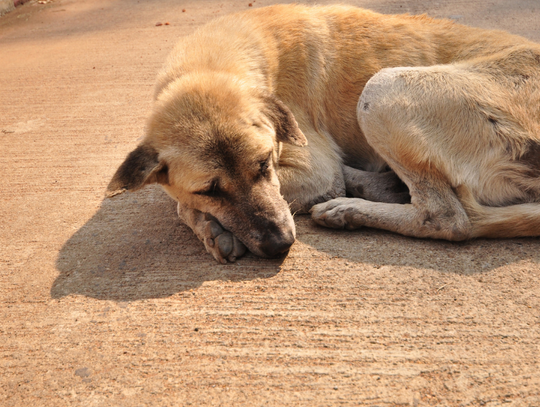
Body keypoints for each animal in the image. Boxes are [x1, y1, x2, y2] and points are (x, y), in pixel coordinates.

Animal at [107, 3, 540, 264]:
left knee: (447, 218)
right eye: (210, 189)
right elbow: (182, 201)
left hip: (383, 88)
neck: (214, 62)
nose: (280, 245)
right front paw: (212, 227)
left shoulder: (310, 169)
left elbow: (178, 204)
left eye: (263, 165)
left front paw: (210, 226)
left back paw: (349, 208)